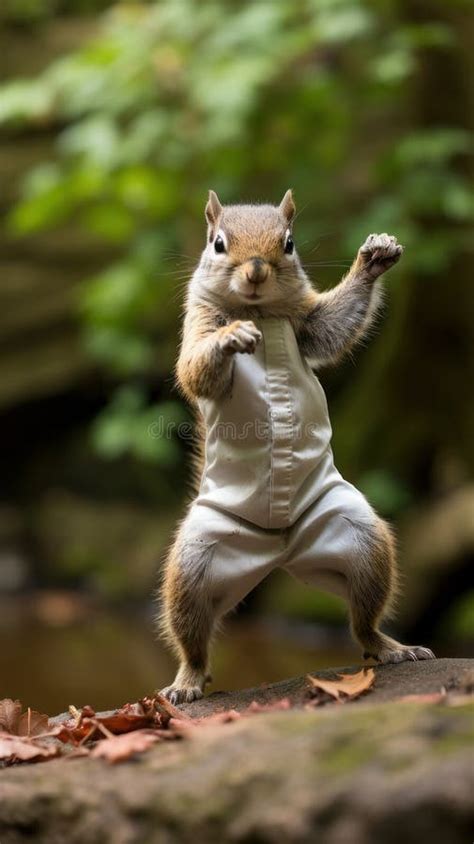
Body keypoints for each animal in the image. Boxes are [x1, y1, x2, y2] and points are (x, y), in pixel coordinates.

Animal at [159, 189, 434, 704]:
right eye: (218, 243)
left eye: (288, 243)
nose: (256, 271)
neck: (260, 313)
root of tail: (278, 555)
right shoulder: (198, 323)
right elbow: (195, 370)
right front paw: (231, 336)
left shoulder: (307, 326)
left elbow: (335, 327)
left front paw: (376, 254)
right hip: (194, 564)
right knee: (193, 641)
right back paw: (187, 681)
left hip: (361, 540)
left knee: (363, 621)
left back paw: (390, 646)